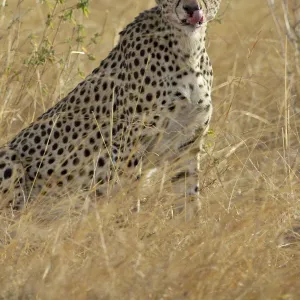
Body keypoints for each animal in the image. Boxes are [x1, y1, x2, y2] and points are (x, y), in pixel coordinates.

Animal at [0, 0, 220, 209]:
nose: (192, 8)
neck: (188, 49)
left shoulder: (187, 144)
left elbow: (190, 202)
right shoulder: (128, 148)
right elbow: (128, 201)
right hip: (9, 156)